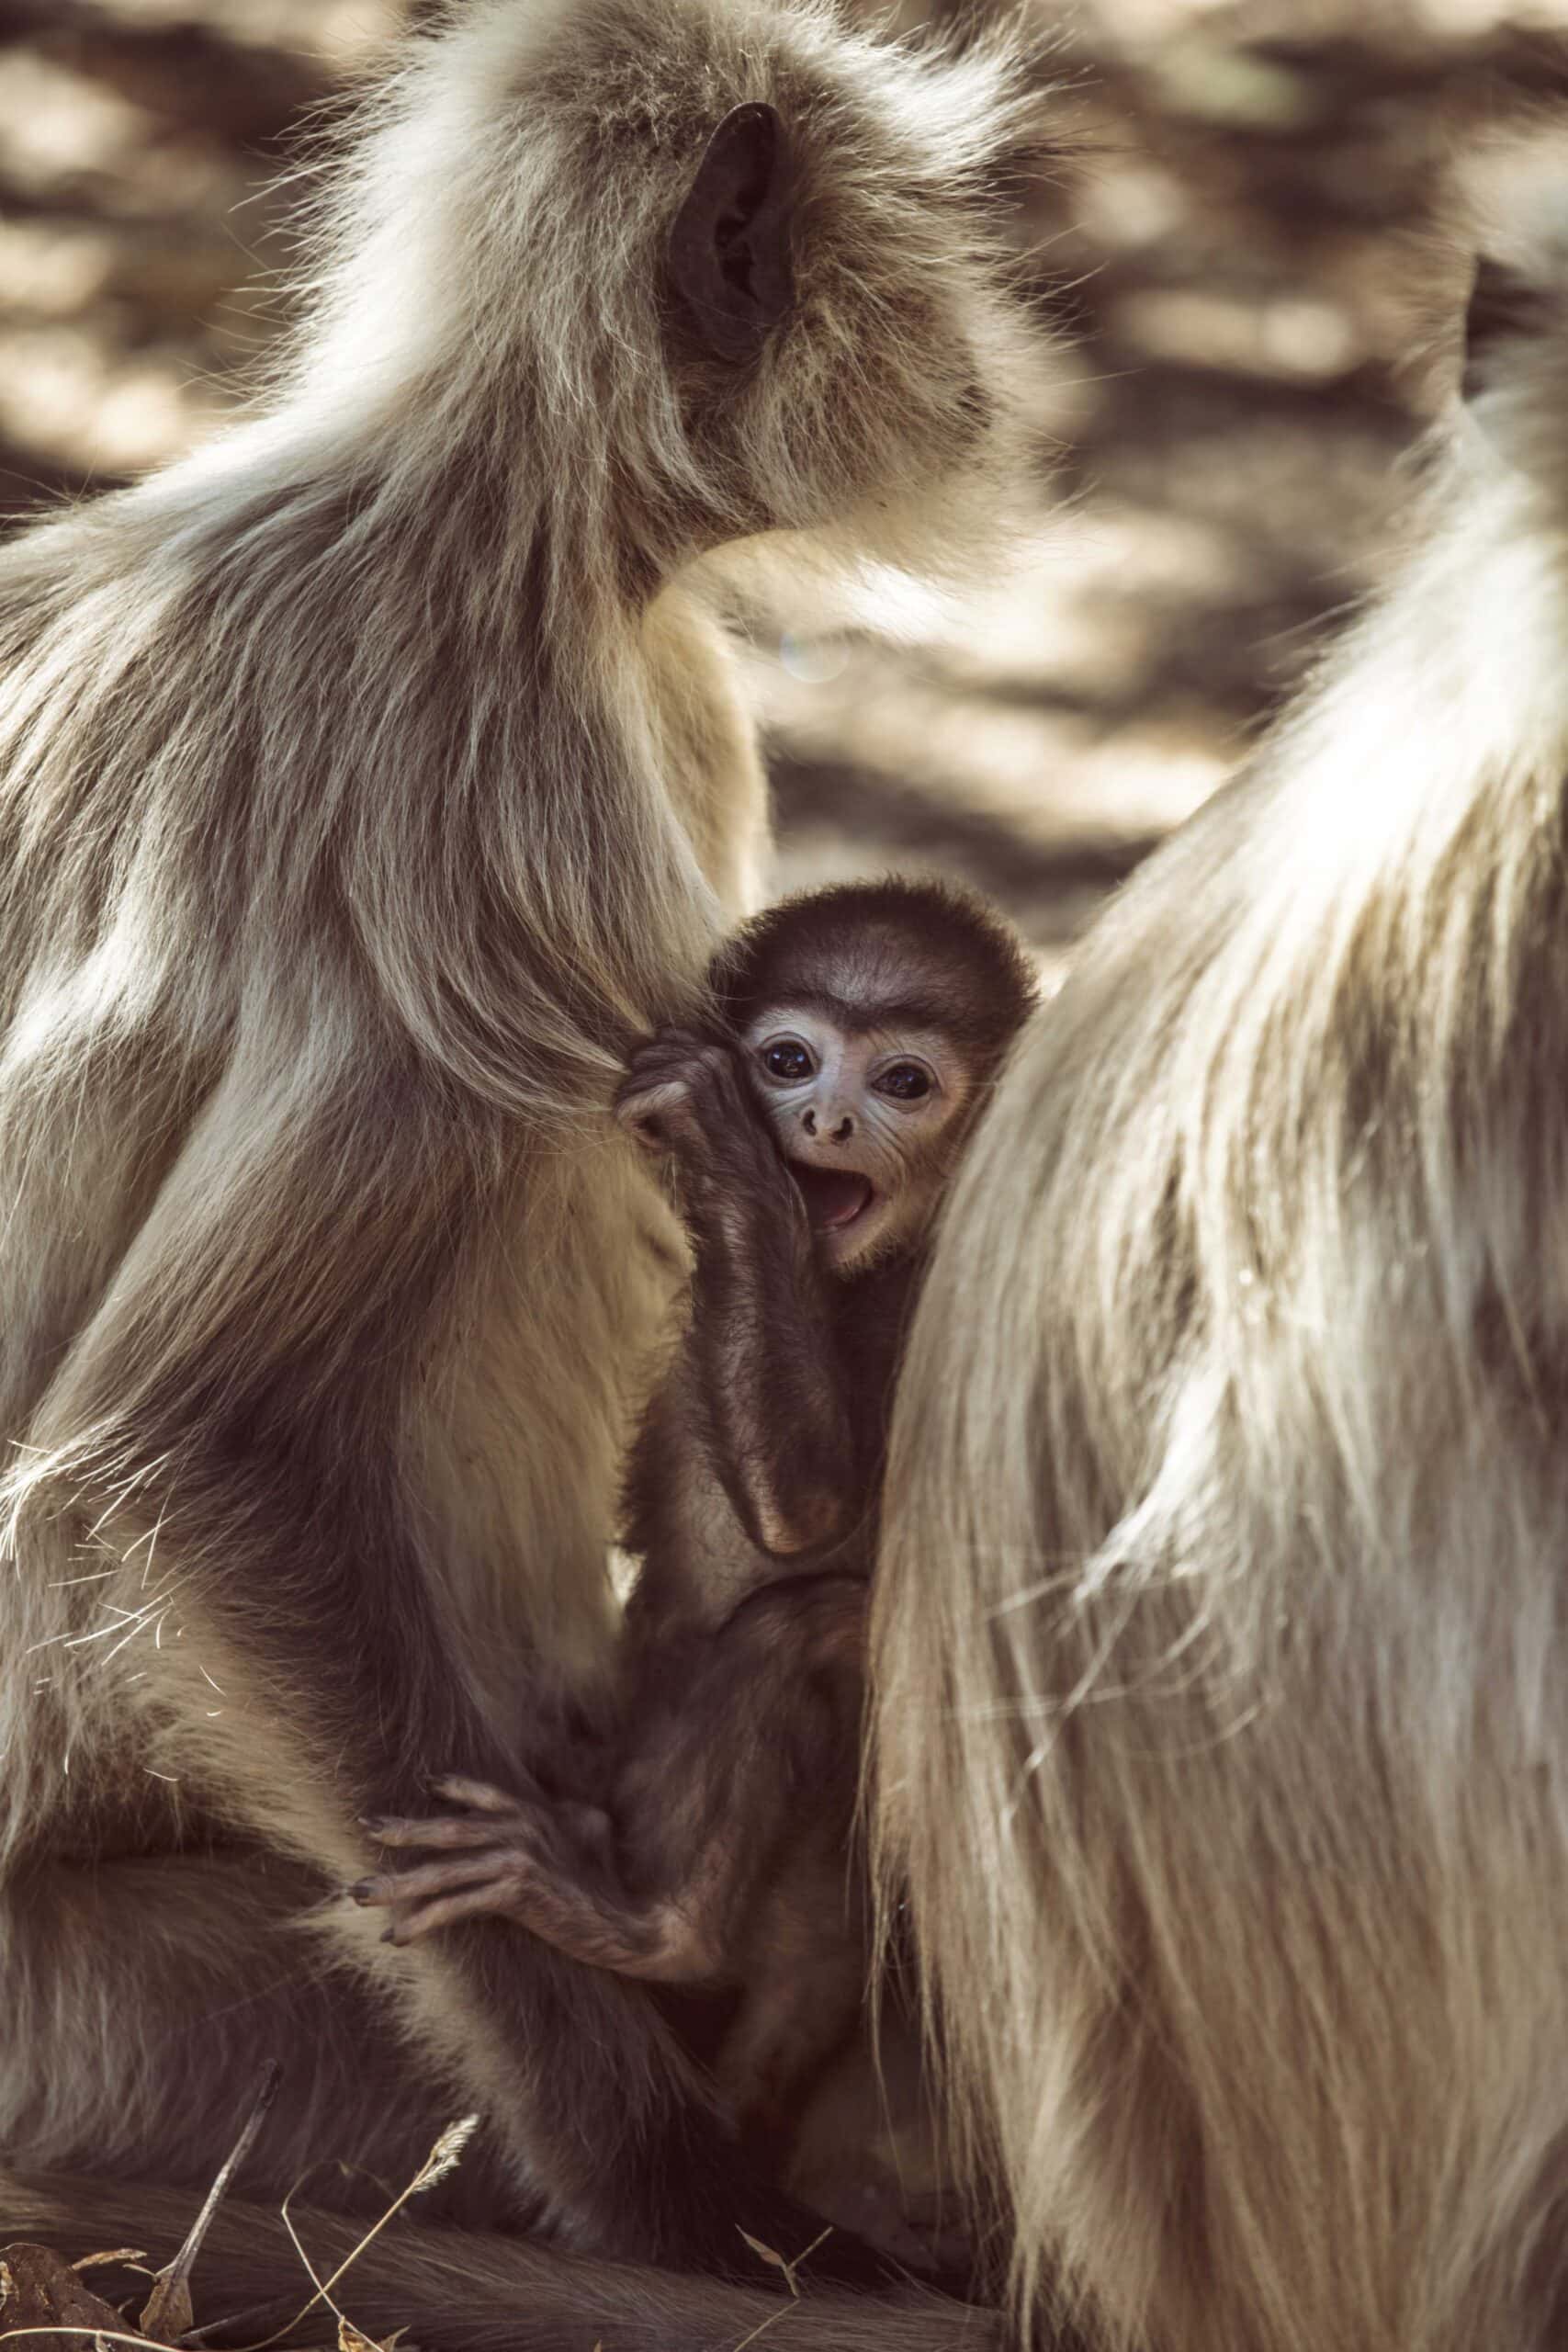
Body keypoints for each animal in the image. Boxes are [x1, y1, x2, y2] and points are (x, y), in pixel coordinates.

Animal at [362, 879, 1034, 2220]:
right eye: (791, 1059)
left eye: (904, 1082)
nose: (822, 1119)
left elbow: (809, 1520)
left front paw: (723, 1152)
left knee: (819, 1631)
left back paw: (654, 1931)